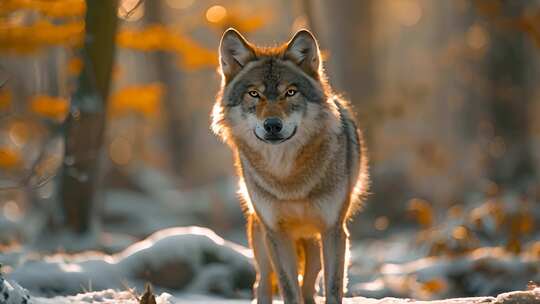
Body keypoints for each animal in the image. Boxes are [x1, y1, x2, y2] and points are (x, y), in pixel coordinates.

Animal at [213, 27, 370, 302]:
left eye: (290, 92)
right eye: (254, 93)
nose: (272, 125)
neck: (287, 176)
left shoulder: (333, 229)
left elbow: (333, 288)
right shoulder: (276, 233)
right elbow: (288, 288)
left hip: (313, 244)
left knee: (309, 287)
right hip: (260, 238)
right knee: (262, 284)